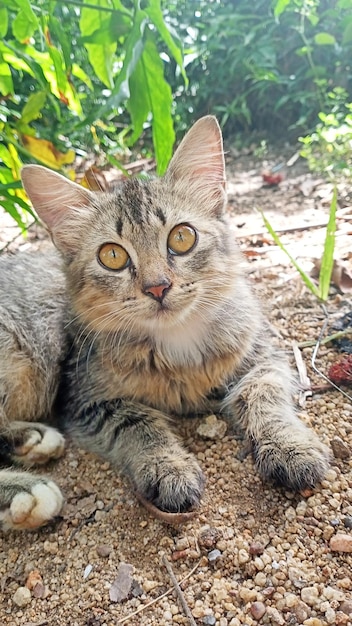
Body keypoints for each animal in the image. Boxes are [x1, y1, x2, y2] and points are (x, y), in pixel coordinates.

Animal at [0, 116, 330, 528]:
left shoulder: (265, 357)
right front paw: (168, 467)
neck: (177, 342)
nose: (157, 286)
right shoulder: (85, 401)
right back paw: (27, 489)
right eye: (112, 256)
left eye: (182, 237)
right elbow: (138, 424)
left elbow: (263, 397)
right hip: (20, 362)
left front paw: (291, 446)